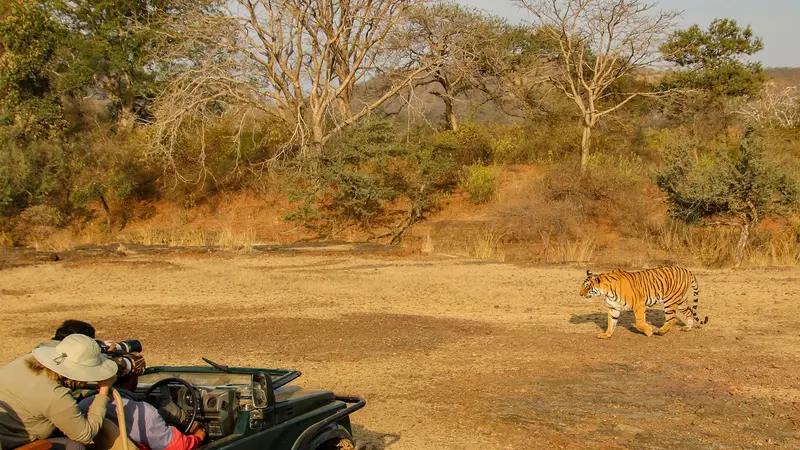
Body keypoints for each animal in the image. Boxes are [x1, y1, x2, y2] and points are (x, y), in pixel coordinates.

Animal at [579, 266, 709, 339]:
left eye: (587, 286)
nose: (580, 294)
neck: (606, 291)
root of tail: (686, 270)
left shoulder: (639, 304)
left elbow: (640, 322)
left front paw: (649, 332)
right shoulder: (613, 308)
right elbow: (611, 322)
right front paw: (606, 335)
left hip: (670, 301)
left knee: (672, 319)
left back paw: (660, 331)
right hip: (680, 301)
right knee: (689, 312)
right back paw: (687, 328)